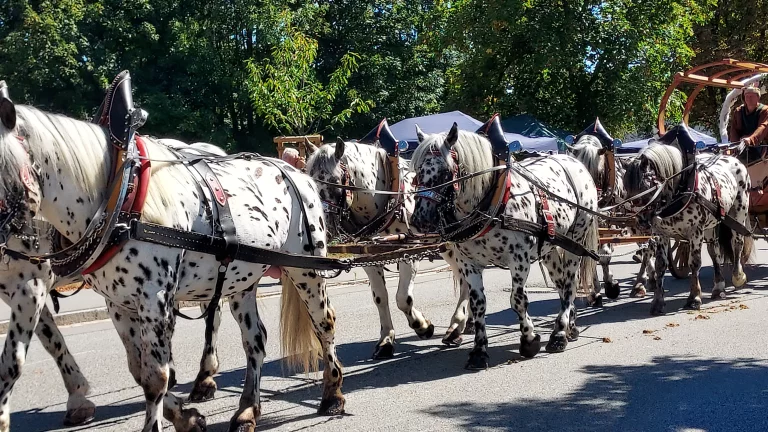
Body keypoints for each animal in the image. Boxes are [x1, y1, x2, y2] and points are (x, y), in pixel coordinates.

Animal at [0, 84, 344, 431]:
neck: (119, 192)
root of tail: (297, 173)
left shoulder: (151, 299)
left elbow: (155, 376)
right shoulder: (118, 303)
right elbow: (140, 370)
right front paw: (186, 416)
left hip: (307, 269)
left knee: (324, 323)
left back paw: (332, 394)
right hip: (241, 279)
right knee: (255, 340)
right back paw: (247, 410)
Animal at [409, 123, 599, 369]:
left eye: (444, 172)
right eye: (417, 172)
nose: (419, 219)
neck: (491, 202)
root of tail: (574, 161)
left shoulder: (518, 260)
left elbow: (518, 300)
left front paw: (529, 340)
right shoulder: (469, 264)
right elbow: (478, 304)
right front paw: (479, 351)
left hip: (576, 239)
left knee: (569, 285)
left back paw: (559, 334)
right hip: (550, 247)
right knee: (561, 282)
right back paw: (570, 328)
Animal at [566, 134, 652, 300]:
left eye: (599, 172)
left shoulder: (609, 222)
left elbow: (604, 255)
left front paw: (610, 285)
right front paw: (595, 291)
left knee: (648, 246)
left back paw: (640, 283)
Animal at [623, 139, 753, 315]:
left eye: (643, 186)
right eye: (627, 188)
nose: (640, 222)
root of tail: (733, 158)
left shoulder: (695, 232)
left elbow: (695, 263)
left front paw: (694, 298)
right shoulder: (661, 234)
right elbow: (660, 265)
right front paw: (657, 301)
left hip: (739, 212)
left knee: (737, 243)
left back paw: (738, 276)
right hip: (711, 224)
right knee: (714, 252)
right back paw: (719, 287)